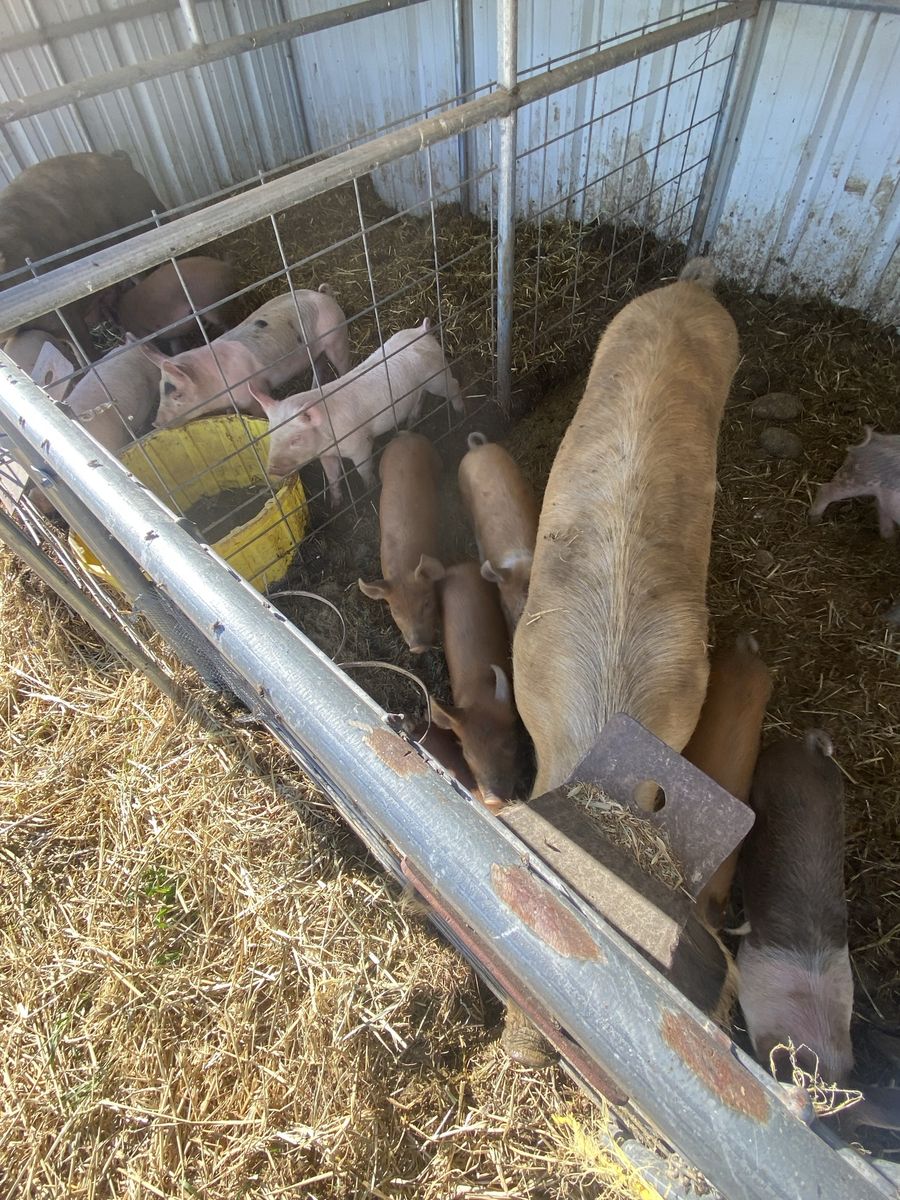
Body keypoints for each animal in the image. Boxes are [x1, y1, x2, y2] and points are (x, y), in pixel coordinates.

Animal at [143, 287, 351, 428]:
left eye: (178, 395)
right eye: (160, 390)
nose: (155, 423)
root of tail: (324, 295)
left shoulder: (254, 392)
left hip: (336, 337)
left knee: (342, 363)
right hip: (316, 350)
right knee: (319, 365)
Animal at [255, 319, 463, 507]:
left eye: (296, 439)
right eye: (271, 435)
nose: (272, 468)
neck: (328, 440)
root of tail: (423, 330)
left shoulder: (360, 444)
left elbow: (364, 469)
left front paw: (370, 490)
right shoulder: (326, 455)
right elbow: (332, 476)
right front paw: (335, 503)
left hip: (437, 375)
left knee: (454, 385)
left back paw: (460, 411)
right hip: (419, 387)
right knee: (419, 399)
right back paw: (411, 425)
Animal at [357, 432, 445, 652]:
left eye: (427, 603)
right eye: (395, 612)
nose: (418, 647)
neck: (403, 564)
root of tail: (405, 435)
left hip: (433, 455)